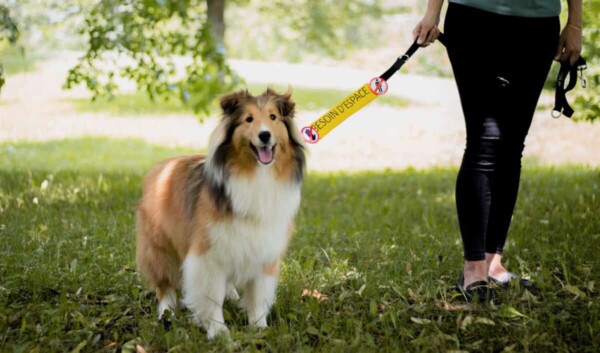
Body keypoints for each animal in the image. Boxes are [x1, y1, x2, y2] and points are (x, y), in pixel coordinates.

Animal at [135, 88, 304, 338]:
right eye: (249, 119)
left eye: (273, 117)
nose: (265, 136)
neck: (256, 176)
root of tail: (161, 167)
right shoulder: (208, 254)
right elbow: (211, 296)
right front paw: (218, 331)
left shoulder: (264, 249)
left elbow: (258, 295)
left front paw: (259, 328)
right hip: (159, 247)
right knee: (164, 286)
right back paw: (167, 312)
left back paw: (231, 294)